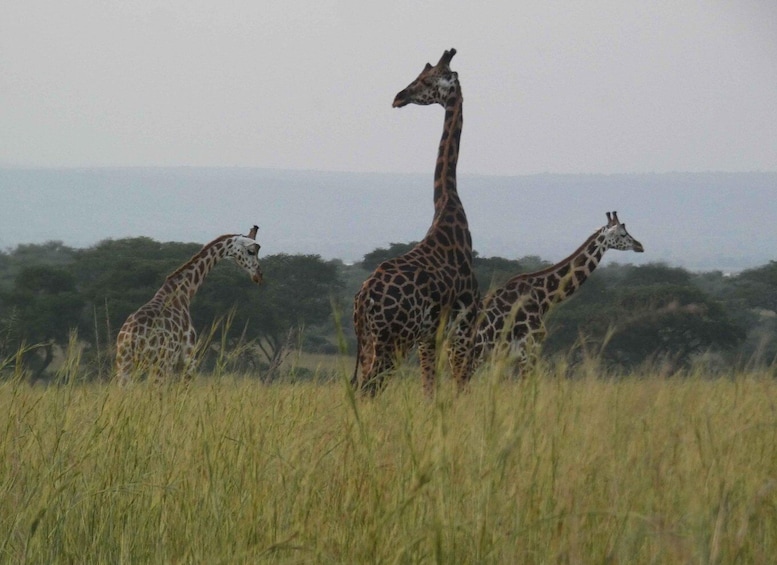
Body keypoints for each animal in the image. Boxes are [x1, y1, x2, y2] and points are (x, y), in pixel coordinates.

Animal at [115, 226, 263, 383]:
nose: (259, 276)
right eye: (251, 251)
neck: (184, 292)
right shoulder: (188, 358)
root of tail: (132, 338)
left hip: (125, 366)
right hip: (160, 365)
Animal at [352, 48, 479, 396]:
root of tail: (363, 301)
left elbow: (432, 389)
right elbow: (452, 387)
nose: (399, 97)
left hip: (372, 342)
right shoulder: (462, 324)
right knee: (369, 388)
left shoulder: (434, 335)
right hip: (393, 341)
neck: (448, 207)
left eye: (426, 80)